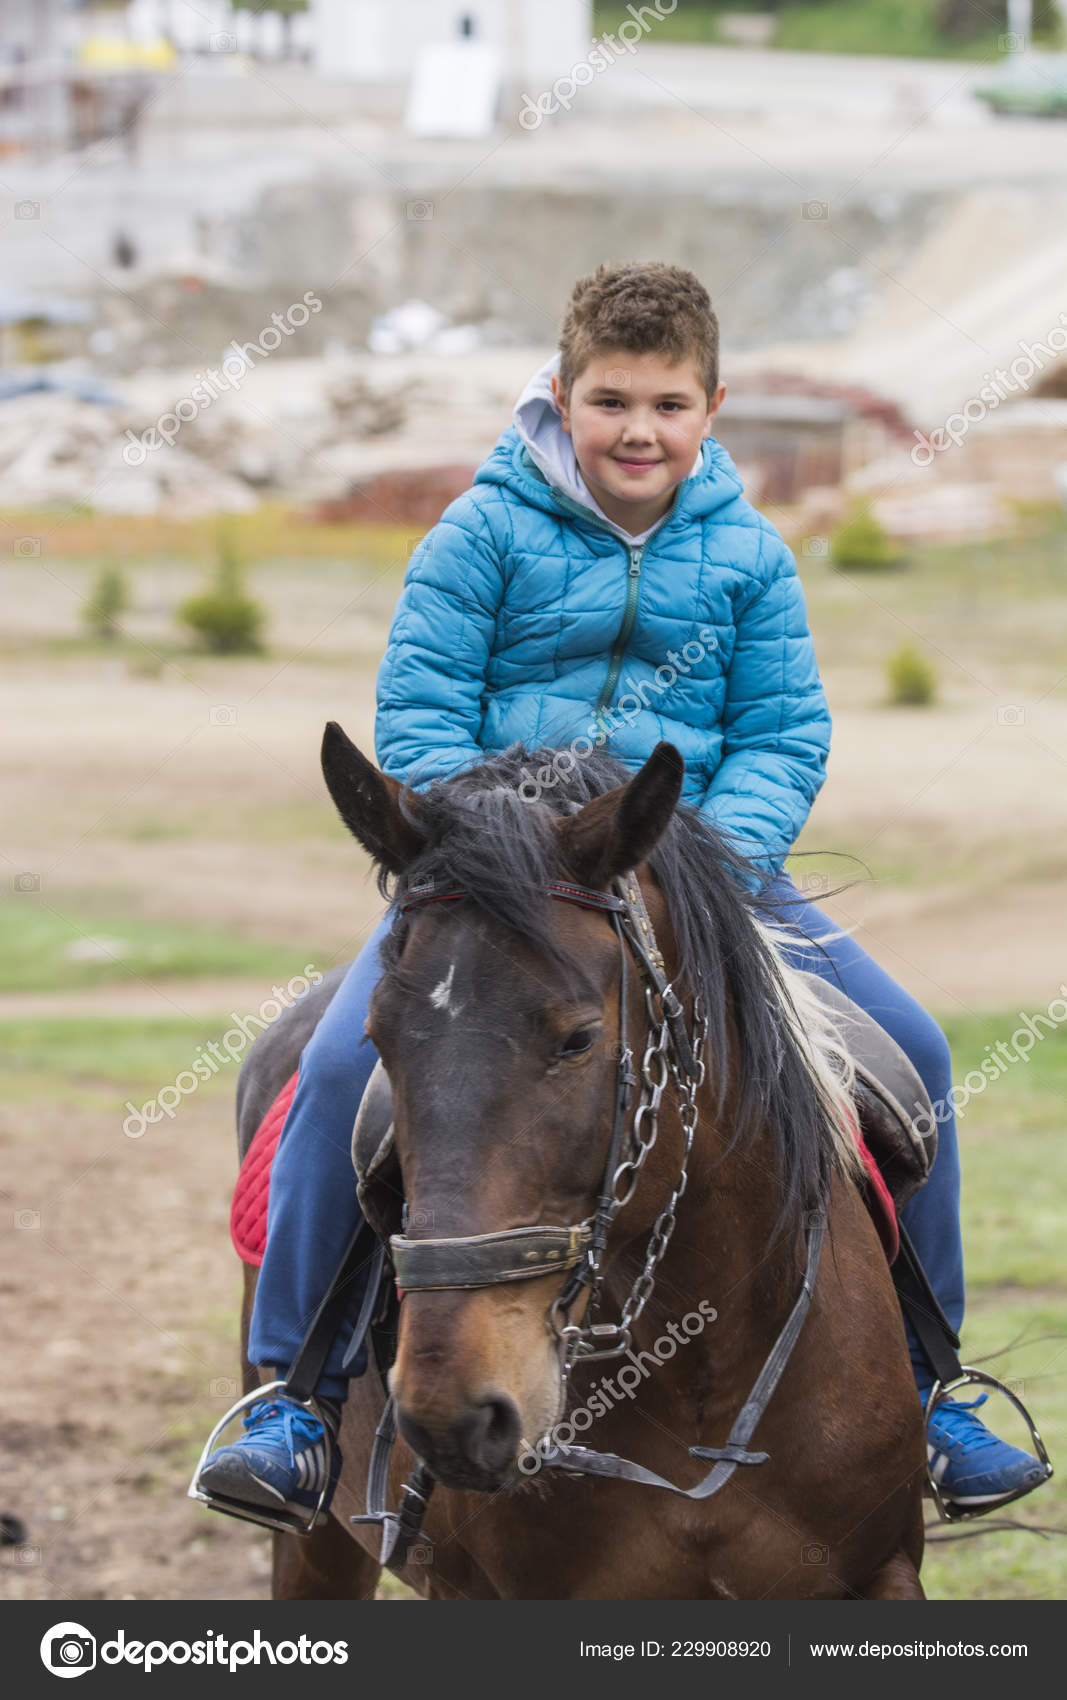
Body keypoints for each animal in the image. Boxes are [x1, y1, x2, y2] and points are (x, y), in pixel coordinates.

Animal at [233, 727, 927, 1600]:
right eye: (376, 1038)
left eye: (578, 1039)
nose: (454, 1412)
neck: (702, 1370)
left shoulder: (882, 1570)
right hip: (315, 1545)